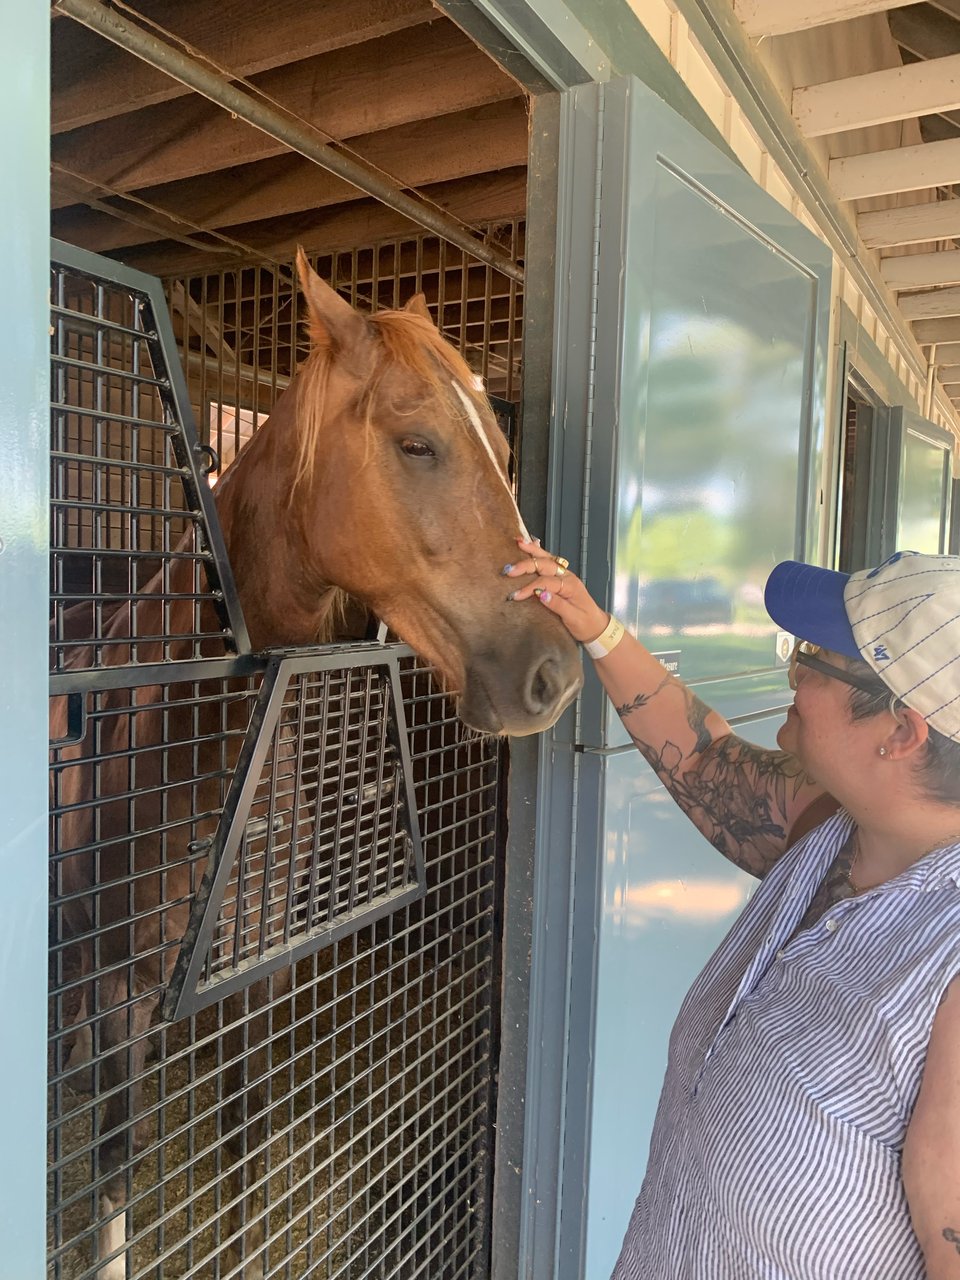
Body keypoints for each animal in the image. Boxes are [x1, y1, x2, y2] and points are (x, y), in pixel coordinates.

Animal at [49, 250, 583, 1279]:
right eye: (417, 444)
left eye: (500, 444)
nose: (555, 672)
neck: (200, 761)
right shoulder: (120, 994)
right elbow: (115, 1179)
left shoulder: (253, 988)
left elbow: (247, 1154)